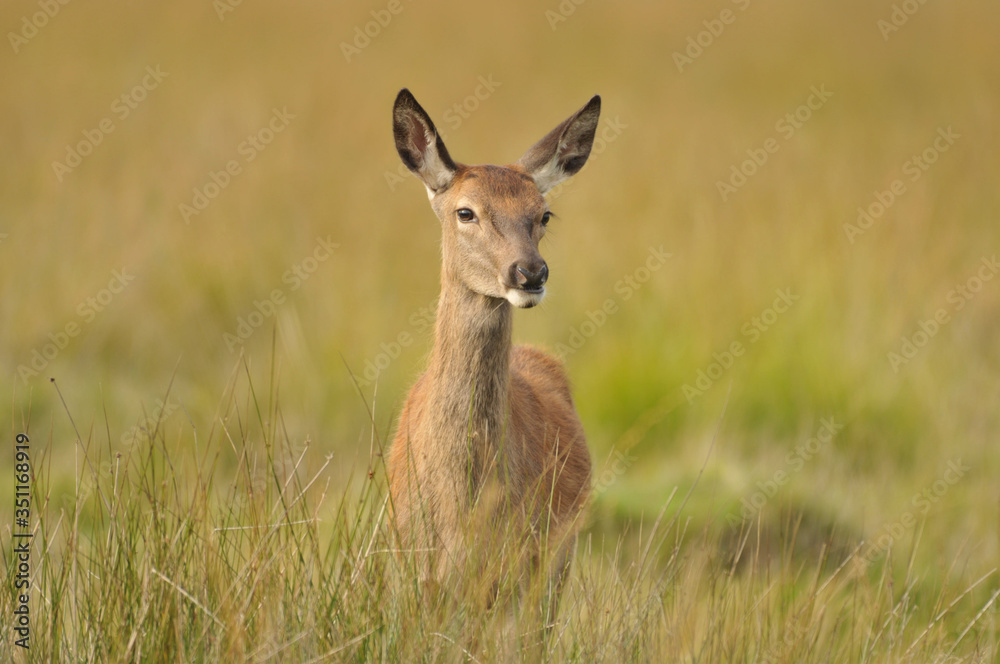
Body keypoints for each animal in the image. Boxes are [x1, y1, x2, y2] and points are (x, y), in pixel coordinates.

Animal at [386, 88, 599, 613]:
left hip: (557, 562)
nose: (530, 273)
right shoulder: (413, 563)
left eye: (543, 213)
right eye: (466, 212)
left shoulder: (520, 563)